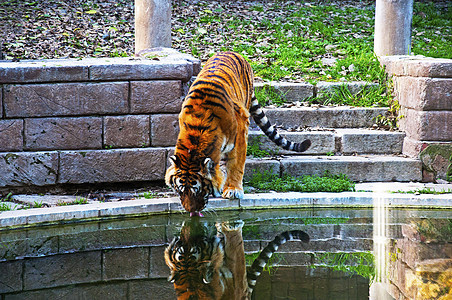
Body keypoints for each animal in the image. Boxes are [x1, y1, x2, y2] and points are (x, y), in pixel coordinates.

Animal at [166, 52, 310, 216]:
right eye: (180, 190)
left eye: (197, 190)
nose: (192, 212)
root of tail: (231, 52)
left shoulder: (240, 133)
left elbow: (236, 164)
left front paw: (233, 190)